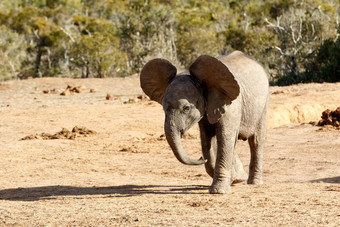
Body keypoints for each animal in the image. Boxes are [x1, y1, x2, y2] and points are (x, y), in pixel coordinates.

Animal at [139, 51, 270, 193]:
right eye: (163, 108)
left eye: (186, 108)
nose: (201, 158)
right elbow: (206, 140)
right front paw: (232, 180)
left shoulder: (231, 106)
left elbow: (224, 137)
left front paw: (219, 191)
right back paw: (239, 178)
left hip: (263, 105)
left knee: (255, 141)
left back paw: (254, 182)